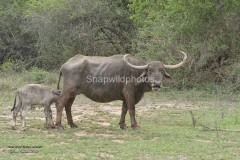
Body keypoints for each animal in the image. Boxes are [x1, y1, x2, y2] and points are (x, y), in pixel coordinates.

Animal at [55, 52, 187, 129]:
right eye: (150, 71)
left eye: (162, 71)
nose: (157, 84)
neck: (136, 73)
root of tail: (65, 65)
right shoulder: (129, 93)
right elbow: (132, 109)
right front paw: (135, 125)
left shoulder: (125, 97)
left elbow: (124, 110)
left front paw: (122, 125)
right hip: (67, 91)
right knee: (60, 104)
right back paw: (59, 125)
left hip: (73, 94)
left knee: (68, 106)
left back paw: (72, 124)